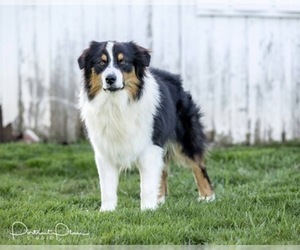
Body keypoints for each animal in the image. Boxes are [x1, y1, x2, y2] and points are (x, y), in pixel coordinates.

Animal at [77, 41, 213, 211]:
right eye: (101, 63)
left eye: (123, 62)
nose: (110, 79)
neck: (116, 103)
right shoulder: (105, 149)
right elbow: (107, 186)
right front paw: (107, 211)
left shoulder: (150, 145)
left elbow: (147, 184)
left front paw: (147, 210)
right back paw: (159, 199)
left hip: (185, 136)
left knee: (198, 164)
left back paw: (207, 196)